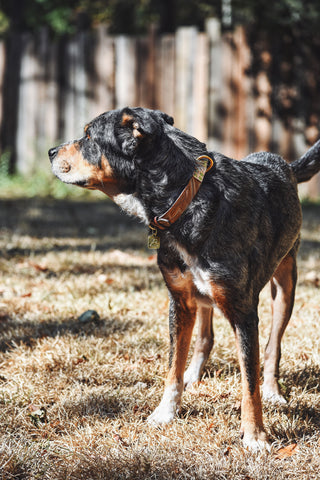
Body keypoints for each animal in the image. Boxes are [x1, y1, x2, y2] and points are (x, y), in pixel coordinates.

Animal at [48, 107, 320, 452]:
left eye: (87, 136)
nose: (50, 152)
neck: (186, 198)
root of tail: (283, 164)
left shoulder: (244, 311)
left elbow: (249, 381)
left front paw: (255, 435)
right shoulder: (179, 301)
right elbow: (173, 367)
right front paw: (165, 413)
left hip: (285, 285)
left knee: (272, 347)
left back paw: (273, 391)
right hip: (201, 297)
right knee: (205, 337)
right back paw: (196, 373)